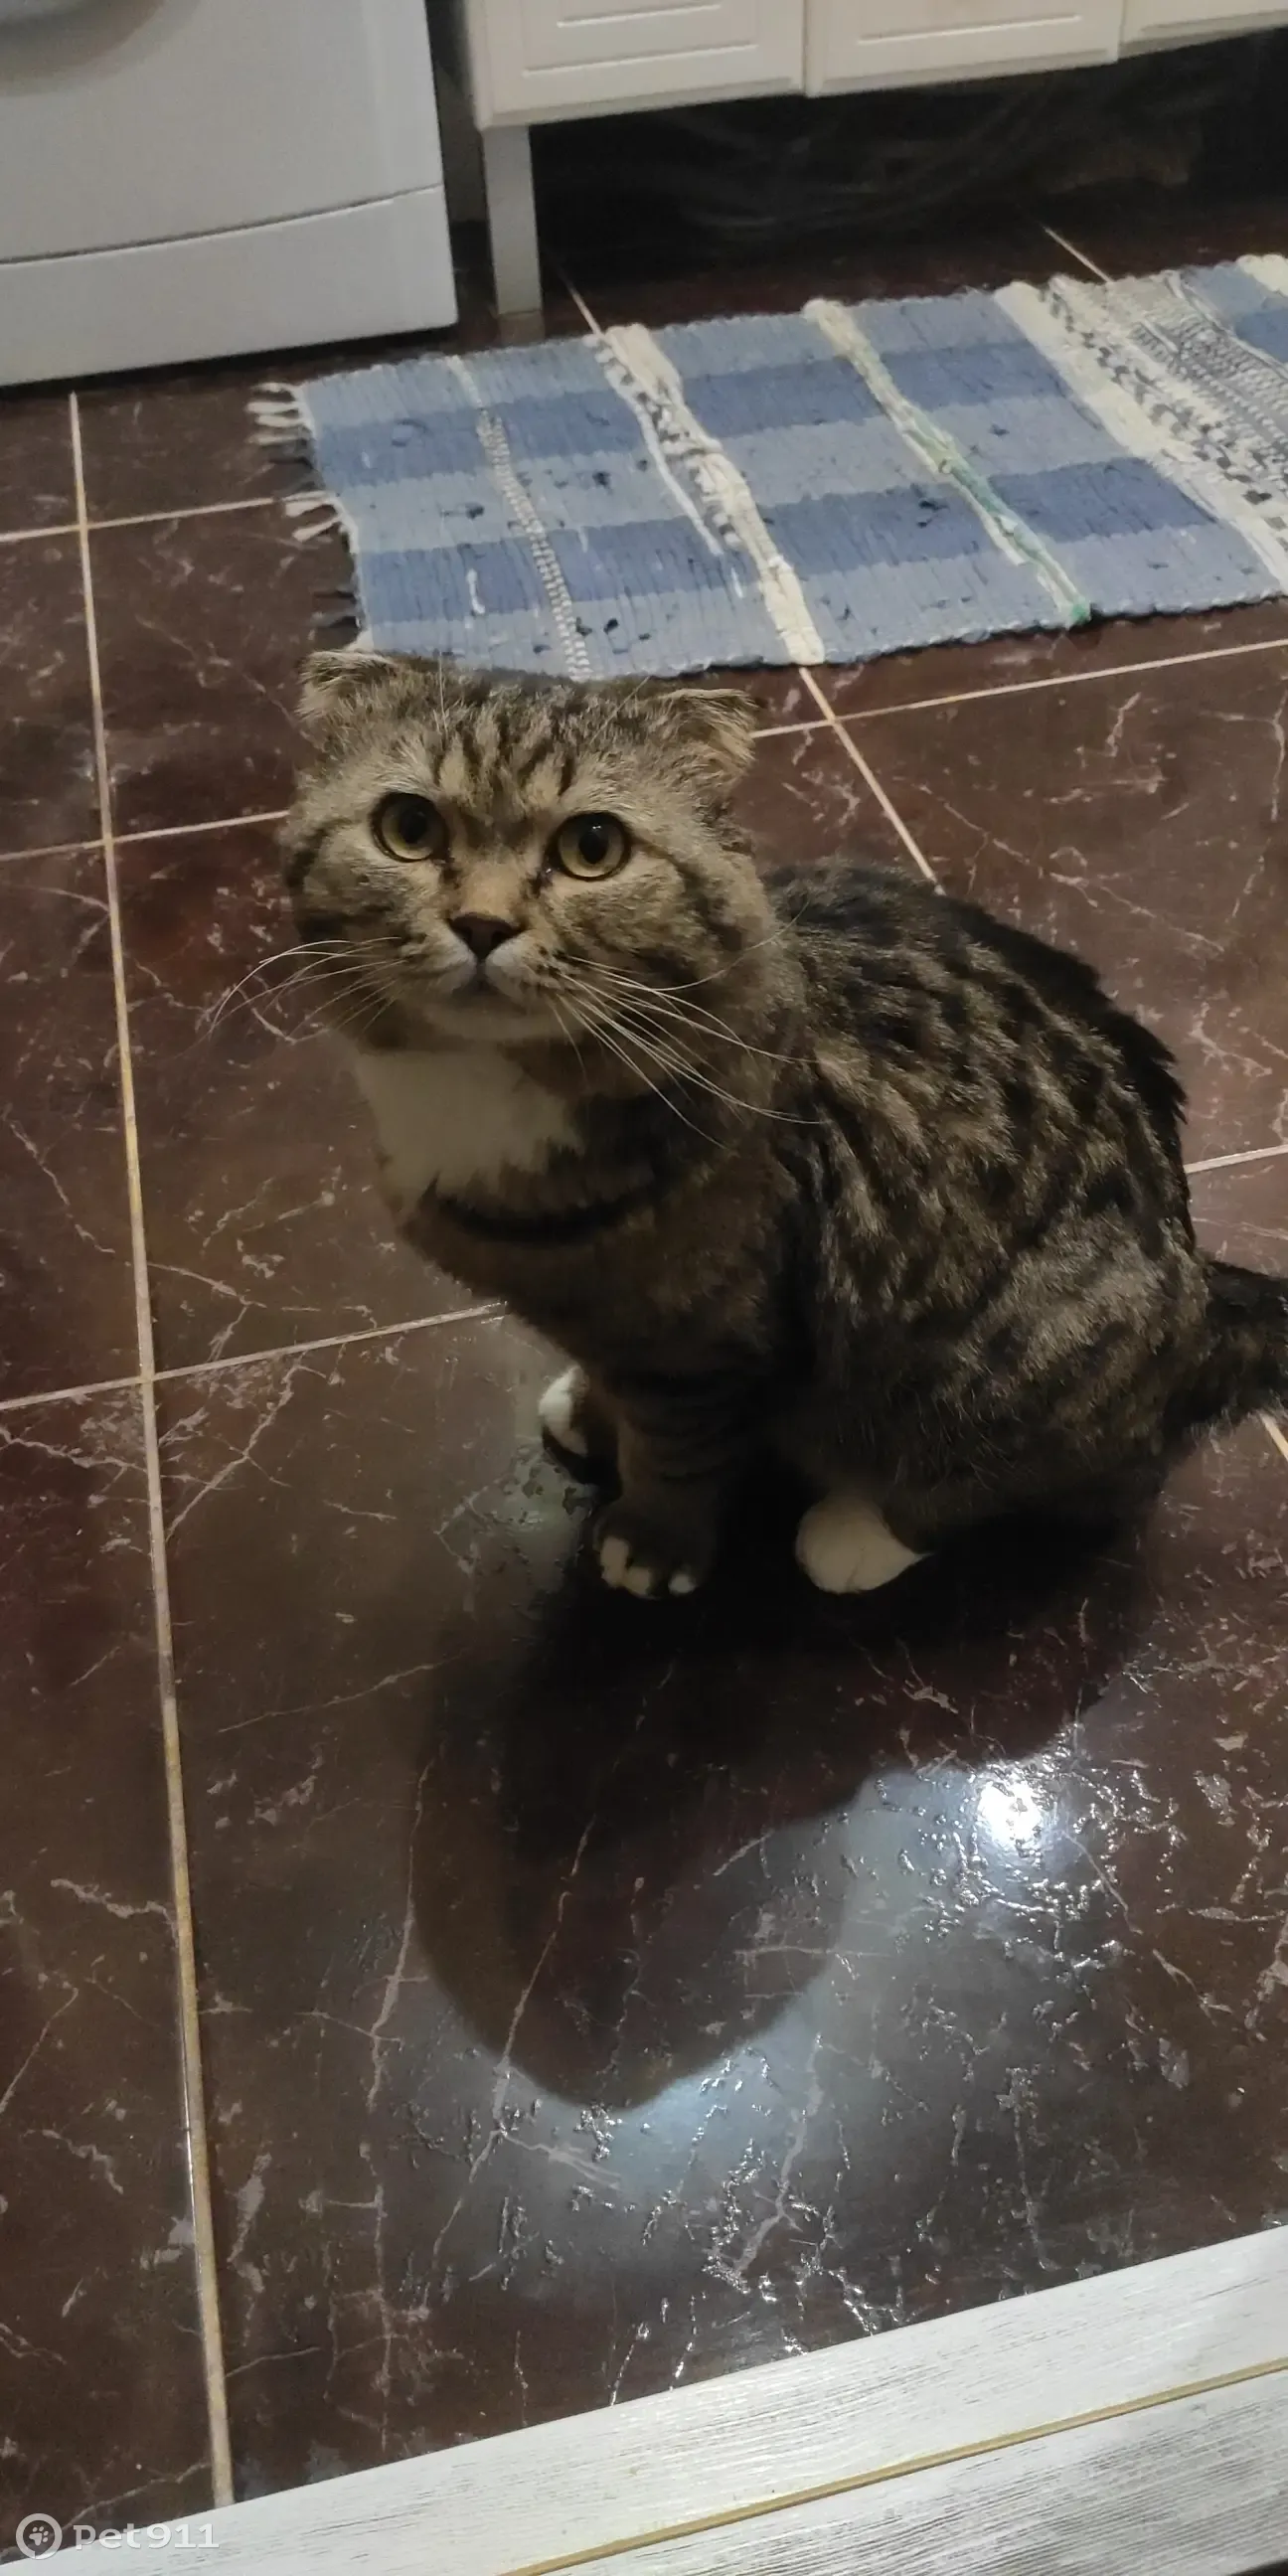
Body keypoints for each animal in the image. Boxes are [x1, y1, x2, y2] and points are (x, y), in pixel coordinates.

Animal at [282, 649, 1288, 1600]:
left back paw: (852, 1533)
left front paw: (650, 1544)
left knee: (1053, 1482)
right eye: (410, 830)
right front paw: (591, 1414)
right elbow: (614, 1386)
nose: (483, 925)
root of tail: (1207, 1295)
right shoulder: (624, 1332)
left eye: (592, 847)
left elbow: (678, 1456)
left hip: (1019, 1358)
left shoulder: (707, 1349)